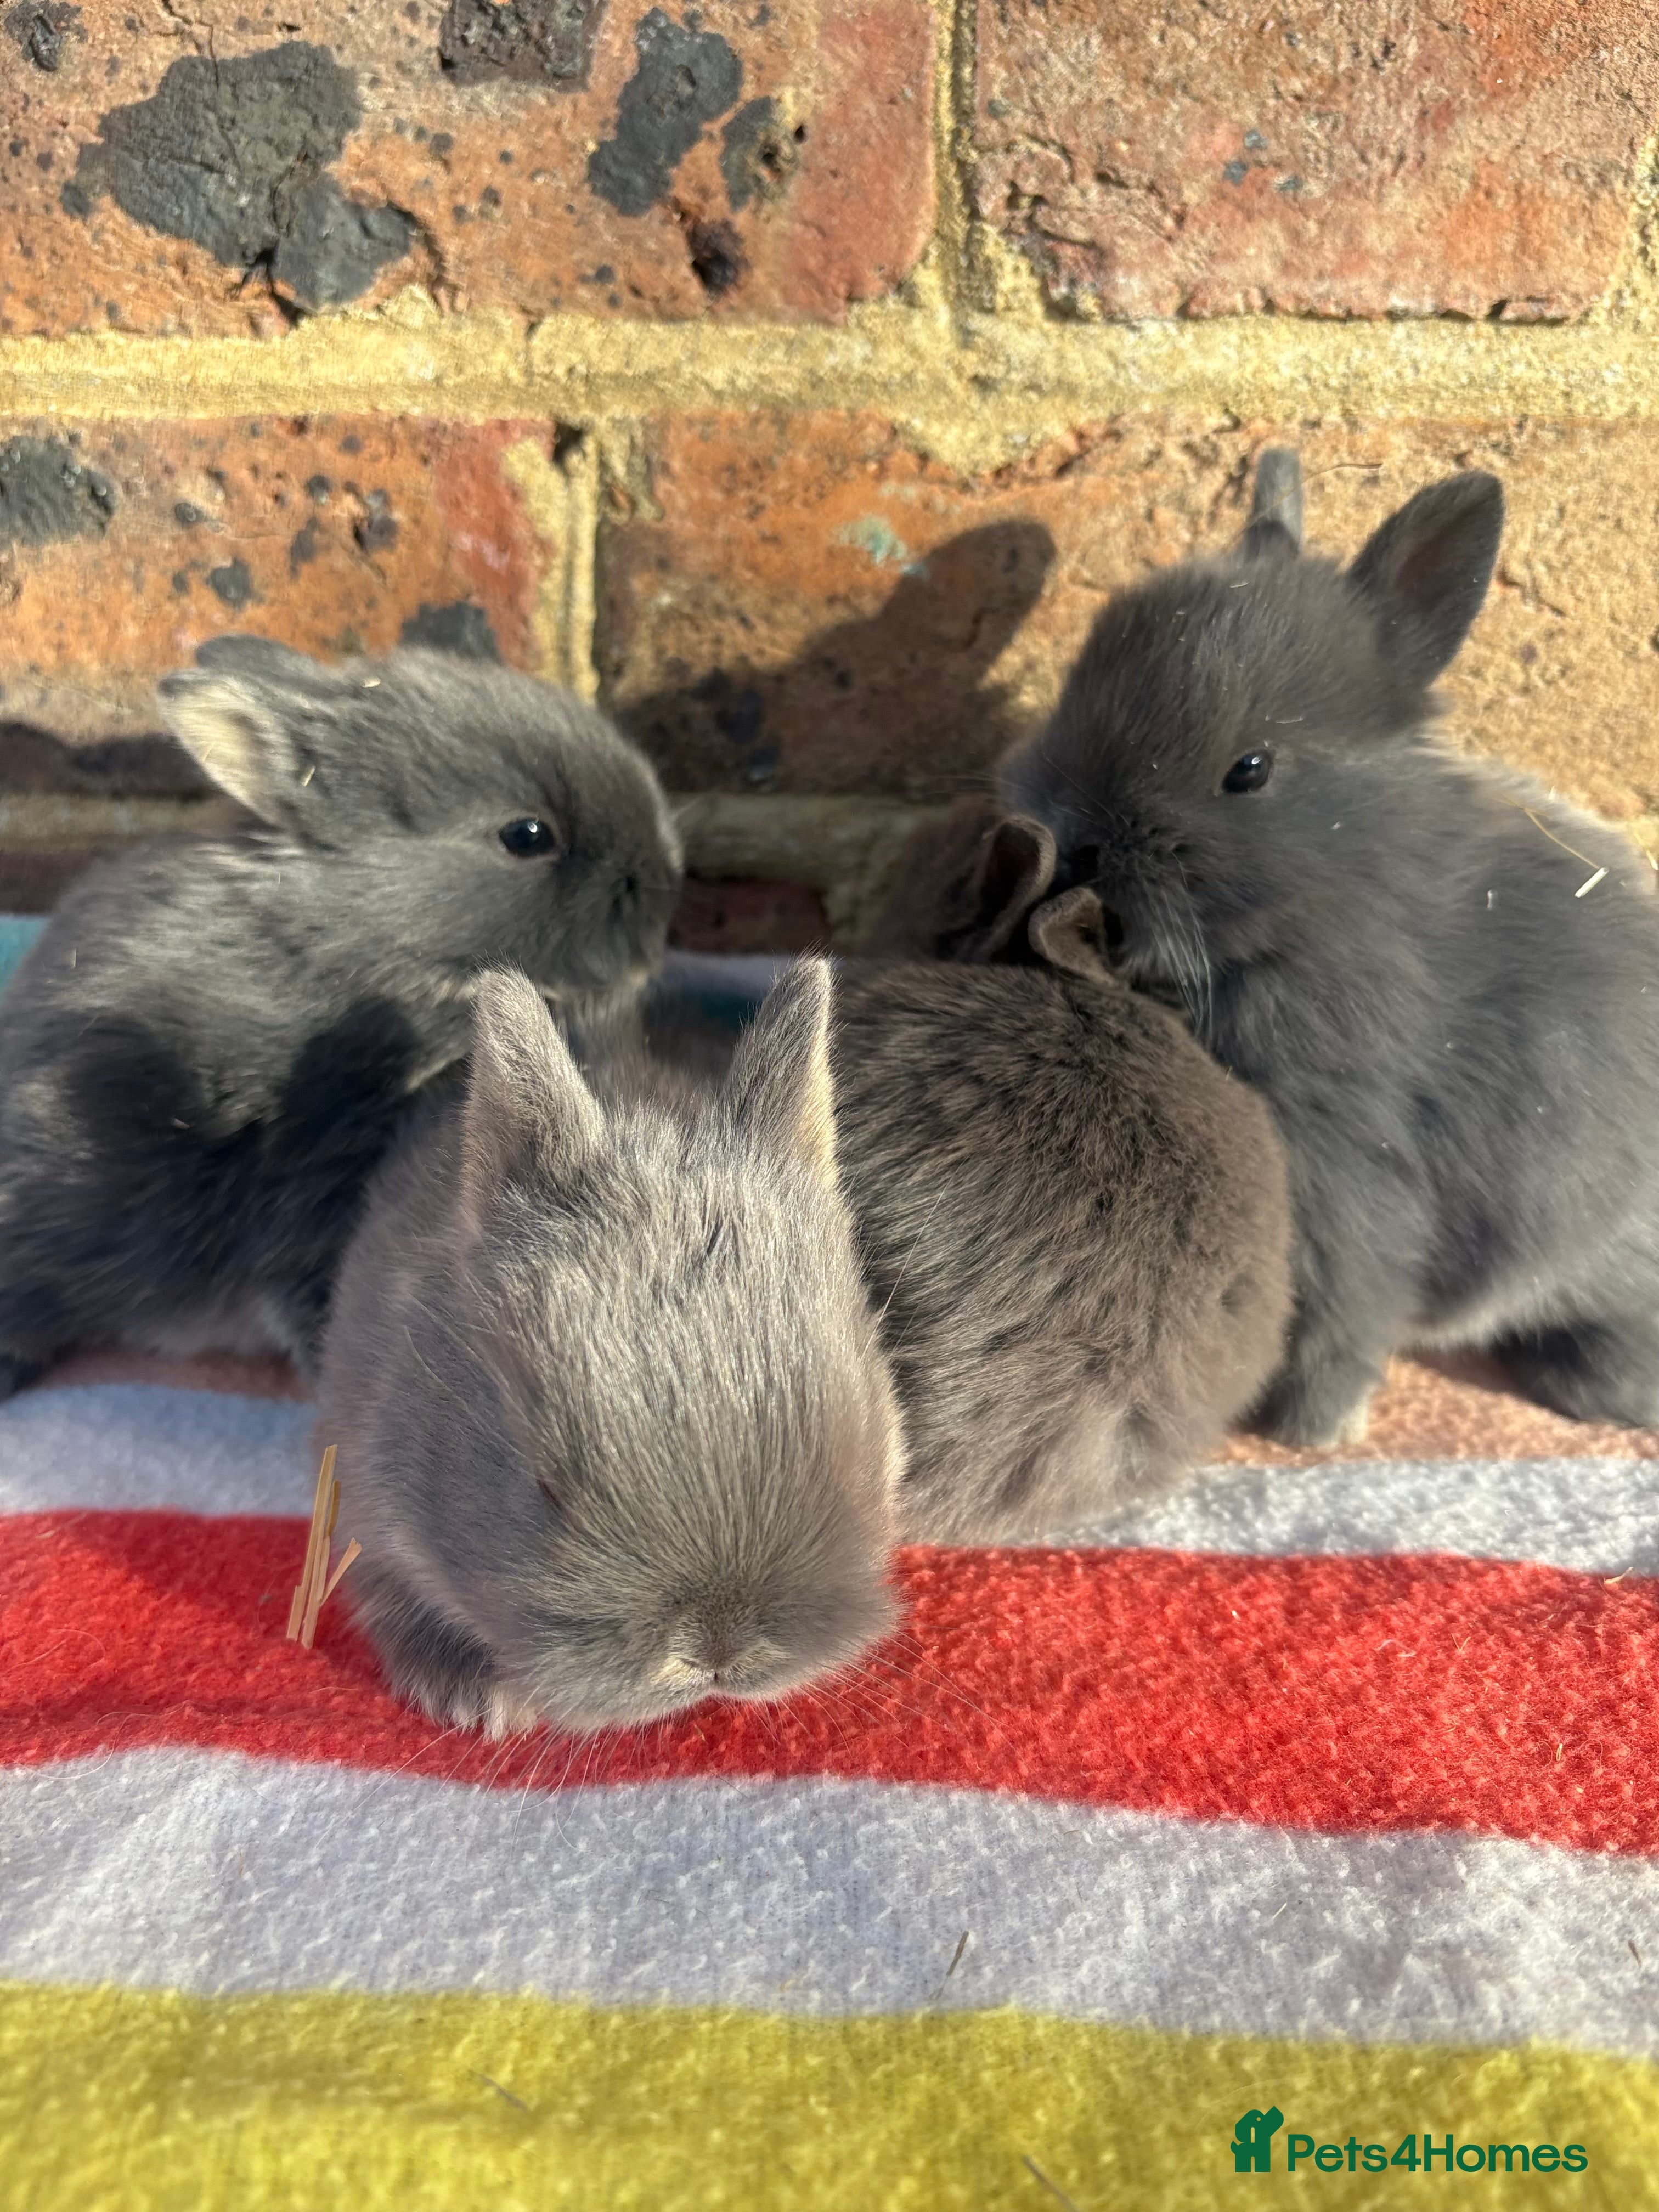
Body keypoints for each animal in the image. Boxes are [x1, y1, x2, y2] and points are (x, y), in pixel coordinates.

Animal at [1002, 447, 1659, 1446]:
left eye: (1249, 769)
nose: (1073, 840)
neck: (1327, 902)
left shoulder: (1351, 1167)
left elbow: (1347, 1311)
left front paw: (1306, 1431)